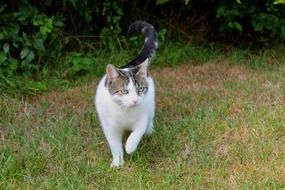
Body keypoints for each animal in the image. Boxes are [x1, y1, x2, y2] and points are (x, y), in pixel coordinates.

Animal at [95, 20, 158, 166]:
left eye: (140, 89)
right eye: (124, 91)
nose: (135, 100)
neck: (125, 111)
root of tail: (129, 65)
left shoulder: (142, 117)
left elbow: (137, 133)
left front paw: (130, 147)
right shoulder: (110, 127)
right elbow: (114, 145)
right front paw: (117, 161)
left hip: (151, 103)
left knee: (150, 117)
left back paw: (149, 131)